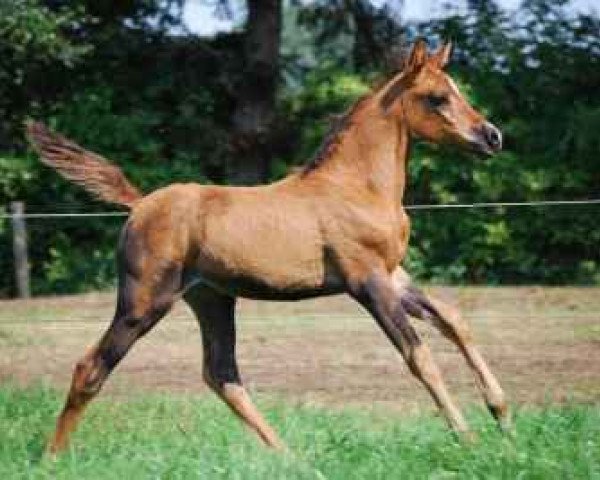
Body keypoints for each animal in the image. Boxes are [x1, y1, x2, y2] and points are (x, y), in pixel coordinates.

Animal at [27, 38, 506, 454]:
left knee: (221, 374)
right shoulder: (366, 280)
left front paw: (502, 414)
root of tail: (140, 202)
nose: (492, 137)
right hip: (143, 301)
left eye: (456, 90)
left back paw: (291, 457)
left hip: (211, 298)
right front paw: (468, 437)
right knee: (92, 368)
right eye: (437, 98)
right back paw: (53, 458)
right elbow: (417, 354)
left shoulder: (392, 274)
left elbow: (453, 320)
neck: (356, 187)